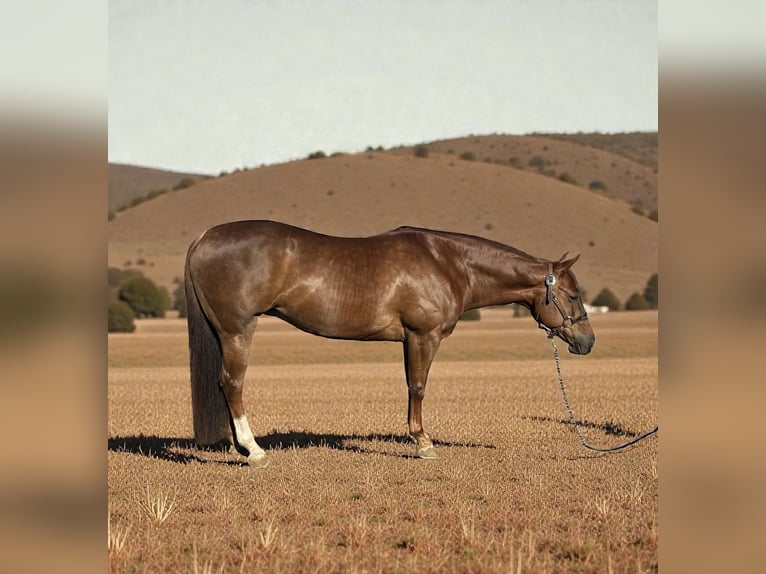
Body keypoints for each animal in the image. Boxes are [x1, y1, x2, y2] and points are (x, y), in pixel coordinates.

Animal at [184, 220, 594, 467]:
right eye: (574, 296)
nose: (587, 342)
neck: (449, 263)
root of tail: (205, 236)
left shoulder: (409, 340)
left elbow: (410, 385)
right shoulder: (423, 336)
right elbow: (418, 387)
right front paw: (423, 443)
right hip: (238, 330)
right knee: (232, 383)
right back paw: (254, 451)